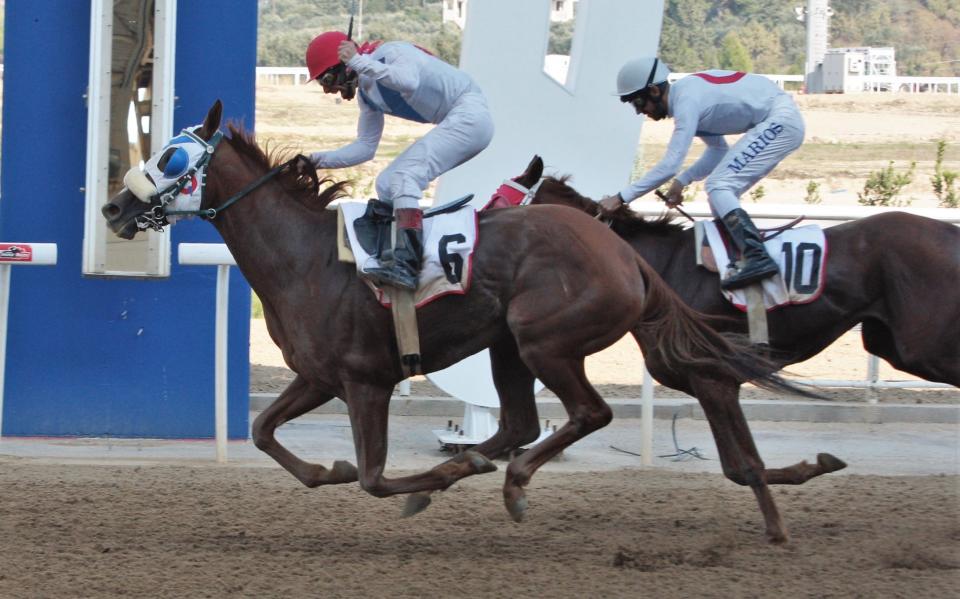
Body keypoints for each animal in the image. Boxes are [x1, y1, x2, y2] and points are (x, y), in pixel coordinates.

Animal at [103, 102, 840, 544]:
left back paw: (510, 482)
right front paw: (330, 468)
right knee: (519, 423)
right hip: (508, 346)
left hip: (545, 339)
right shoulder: (317, 376)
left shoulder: (365, 381)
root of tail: (623, 250)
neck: (306, 258)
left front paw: (423, 483)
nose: (112, 207)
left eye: (172, 158)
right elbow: (264, 433)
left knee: (587, 413)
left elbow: (375, 476)